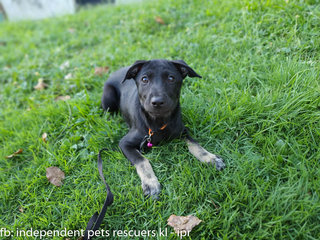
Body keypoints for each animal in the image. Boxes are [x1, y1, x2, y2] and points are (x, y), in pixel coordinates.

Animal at [102, 59, 225, 199]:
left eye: (171, 78)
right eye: (144, 79)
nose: (157, 102)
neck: (158, 121)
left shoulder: (182, 130)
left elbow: (195, 145)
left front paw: (211, 158)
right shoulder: (124, 143)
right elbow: (142, 160)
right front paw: (151, 183)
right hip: (108, 99)